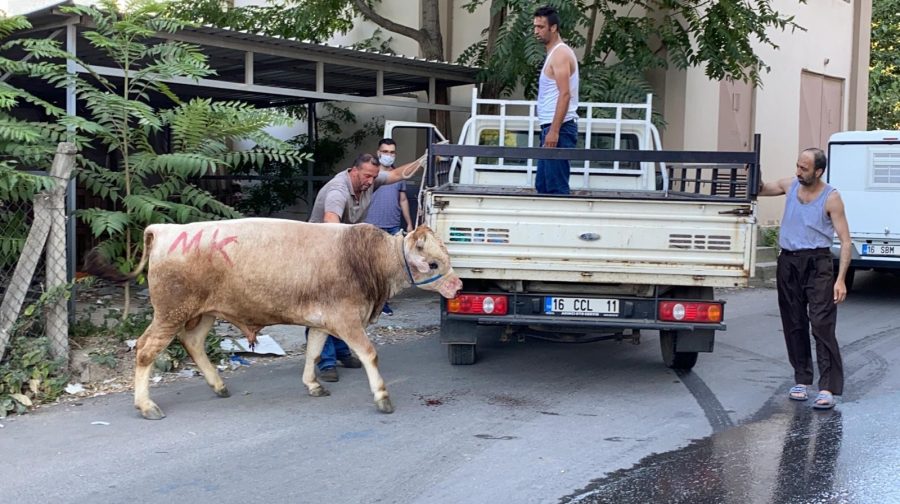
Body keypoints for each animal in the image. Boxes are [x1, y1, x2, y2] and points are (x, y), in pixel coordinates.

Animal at [82, 219, 464, 420]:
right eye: (433, 262)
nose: (458, 283)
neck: (368, 258)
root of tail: (163, 229)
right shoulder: (346, 319)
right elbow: (369, 354)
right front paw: (382, 396)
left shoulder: (323, 320)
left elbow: (314, 351)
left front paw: (313, 384)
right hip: (170, 312)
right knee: (146, 349)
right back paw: (146, 404)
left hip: (204, 312)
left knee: (192, 342)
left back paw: (218, 385)